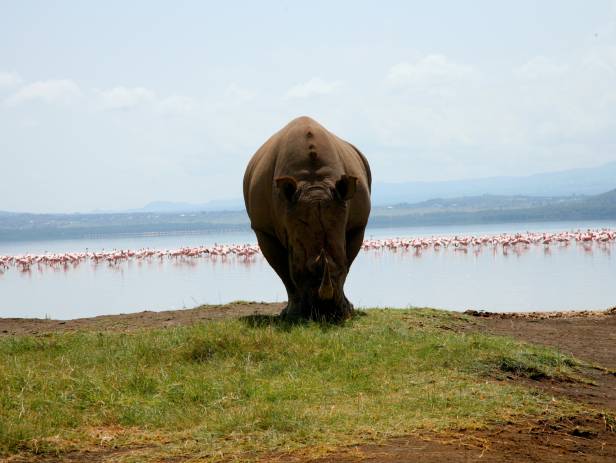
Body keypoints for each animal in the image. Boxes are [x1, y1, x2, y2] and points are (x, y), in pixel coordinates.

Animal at [243, 116, 370, 320]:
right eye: (300, 271)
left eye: (341, 267)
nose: (325, 313)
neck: (314, 183)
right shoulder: (263, 229)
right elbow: (284, 272)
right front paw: (293, 313)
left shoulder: (358, 225)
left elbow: (349, 260)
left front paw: (348, 309)